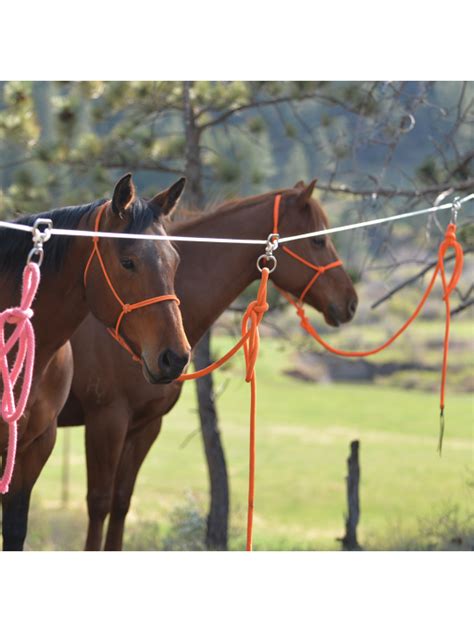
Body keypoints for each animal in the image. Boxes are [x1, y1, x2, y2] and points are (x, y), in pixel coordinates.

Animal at [57, 178, 358, 548]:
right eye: (318, 240)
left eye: (175, 261)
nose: (350, 302)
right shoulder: (106, 422)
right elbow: (99, 503)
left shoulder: (144, 427)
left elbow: (121, 502)